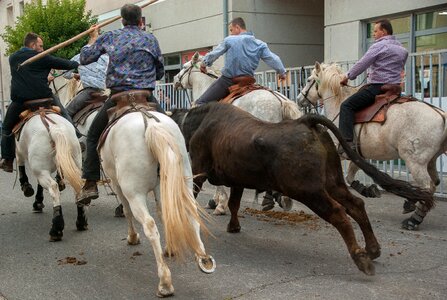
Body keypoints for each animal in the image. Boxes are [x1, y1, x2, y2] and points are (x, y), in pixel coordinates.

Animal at [15, 105, 86, 241]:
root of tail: (55, 128)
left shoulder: (19, 151)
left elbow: (21, 166)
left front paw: (28, 189)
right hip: (74, 163)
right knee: (78, 188)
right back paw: (81, 221)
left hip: (40, 170)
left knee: (53, 188)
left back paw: (56, 229)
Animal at [98, 105, 217, 296]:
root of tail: (151, 124)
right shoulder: (161, 188)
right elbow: (165, 215)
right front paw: (170, 248)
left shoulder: (117, 185)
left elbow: (126, 211)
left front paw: (132, 237)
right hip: (181, 180)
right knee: (190, 214)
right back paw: (202, 257)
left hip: (135, 193)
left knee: (149, 225)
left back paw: (165, 282)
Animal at [171, 103, 434, 276]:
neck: (199, 121)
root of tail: (304, 121)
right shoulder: (237, 180)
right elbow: (235, 203)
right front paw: (233, 226)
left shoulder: (199, 170)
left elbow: (197, 196)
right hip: (332, 182)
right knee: (356, 205)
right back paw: (372, 249)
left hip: (309, 191)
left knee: (339, 213)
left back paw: (360, 257)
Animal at [173, 52, 302, 216]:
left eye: (184, 67)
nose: (175, 79)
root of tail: (280, 100)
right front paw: (215, 201)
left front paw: (220, 204)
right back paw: (282, 199)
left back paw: (270, 198)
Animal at [298, 61, 447, 230]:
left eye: (309, 80)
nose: (299, 99)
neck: (339, 102)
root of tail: (441, 114)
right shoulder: (358, 155)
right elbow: (350, 177)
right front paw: (367, 190)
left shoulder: (340, 151)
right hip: (430, 161)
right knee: (434, 183)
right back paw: (411, 204)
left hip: (415, 162)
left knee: (428, 186)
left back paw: (413, 219)